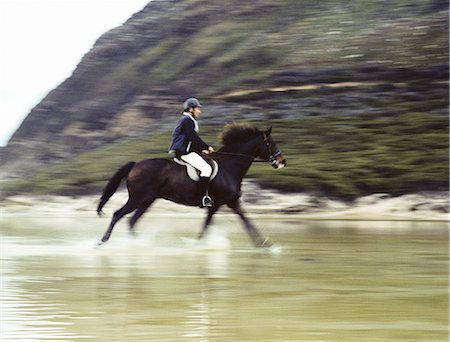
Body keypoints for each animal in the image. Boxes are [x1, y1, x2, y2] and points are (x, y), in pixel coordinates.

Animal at [97, 123, 288, 248]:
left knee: (131, 221)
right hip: (138, 199)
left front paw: (266, 245)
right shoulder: (220, 204)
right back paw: (102, 243)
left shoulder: (229, 203)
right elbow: (213, 226)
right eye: (271, 143)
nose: (282, 162)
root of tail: (135, 164)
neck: (229, 167)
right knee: (118, 215)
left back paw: (137, 244)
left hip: (146, 201)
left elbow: (245, 222)